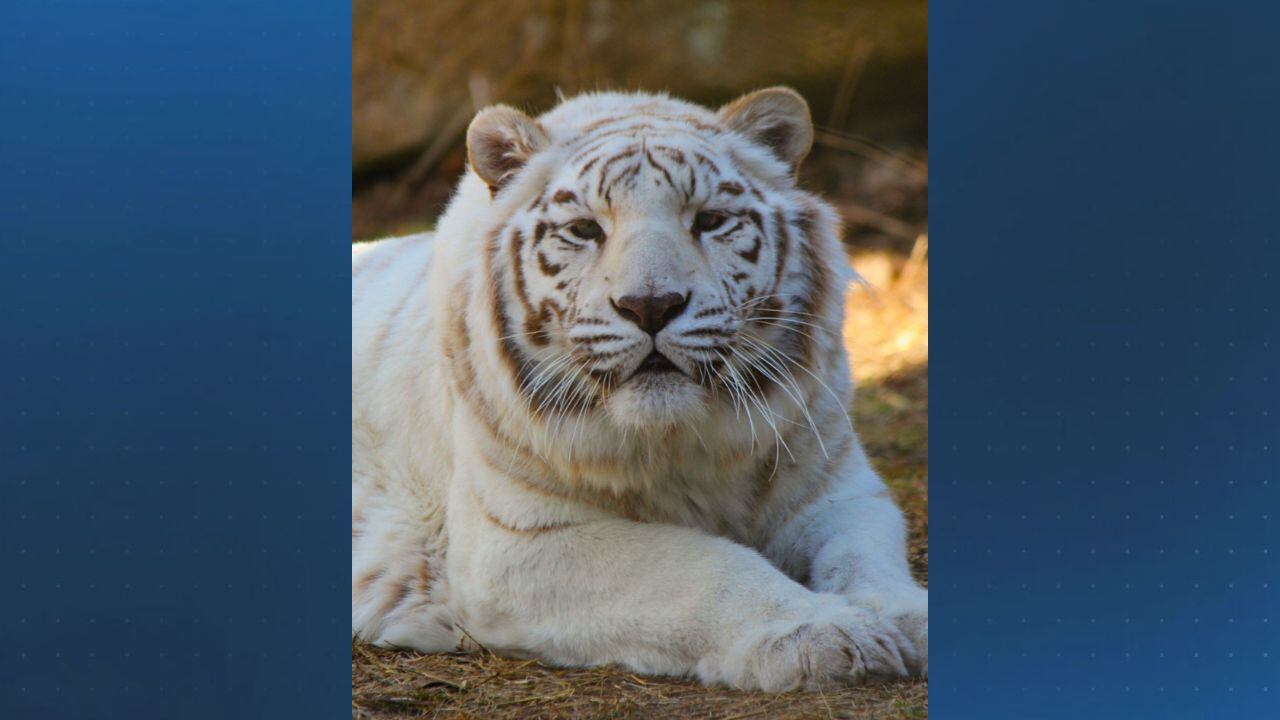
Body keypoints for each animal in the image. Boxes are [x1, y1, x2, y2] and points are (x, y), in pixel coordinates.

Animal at [352, 87, 927, 691]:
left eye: (711, 221)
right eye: (585, 229)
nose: (651, 305)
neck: (682, 443)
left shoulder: (836, 488)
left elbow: (865, 556)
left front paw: (906, 620)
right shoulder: (517, 540)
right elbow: (705, 566)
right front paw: (824, 633)